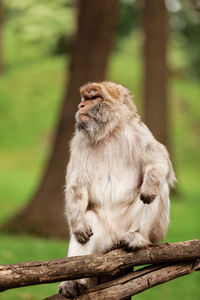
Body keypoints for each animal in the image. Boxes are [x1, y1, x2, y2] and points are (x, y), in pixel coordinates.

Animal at [57, 81, 175, 296]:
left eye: (93, 98)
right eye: (85, 99)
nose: (80, 106)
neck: (108, 133)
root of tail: (114, 238)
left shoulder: (138, 131)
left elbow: (159, 162)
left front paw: (150, 186)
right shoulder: (78, 142)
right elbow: (77, 186)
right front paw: (78, 224)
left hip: (150, 230)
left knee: (159, 188)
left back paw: (138, 238)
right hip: (102, 238)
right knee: (89, 219)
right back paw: (73, 280)